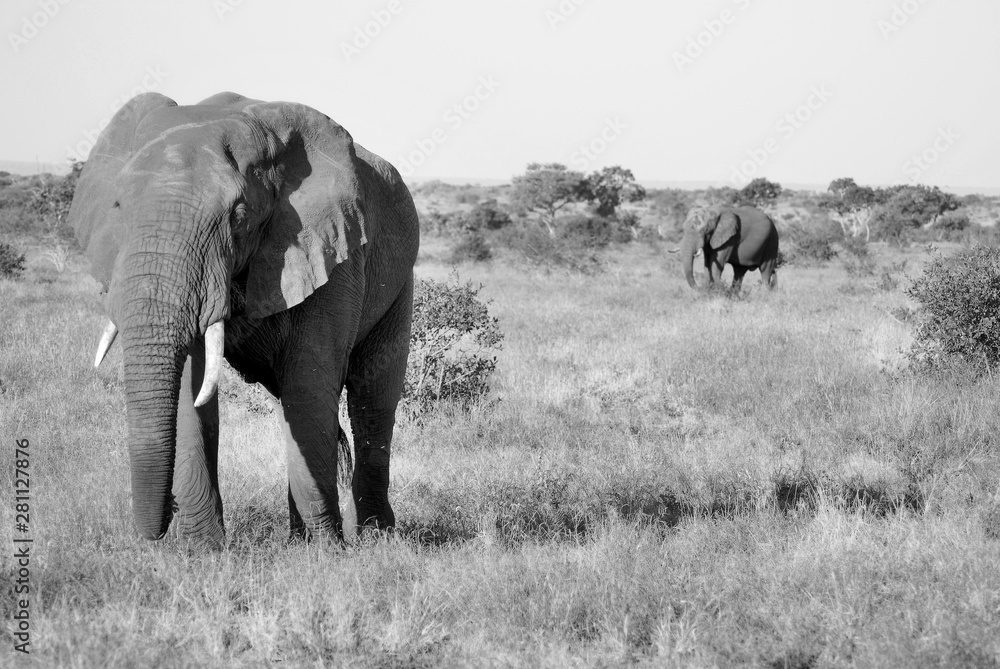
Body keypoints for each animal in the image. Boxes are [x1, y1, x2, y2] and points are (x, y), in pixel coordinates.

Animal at [68, 91, 420, 549]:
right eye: (118, 208)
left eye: (238, 215)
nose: (161, 525)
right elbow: (193, 390)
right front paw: (204, 552)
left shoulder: (334, 250)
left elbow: (309, 383)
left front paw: (328, 553)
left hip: (399, 281)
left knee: (372, 400)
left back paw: (377, 538)